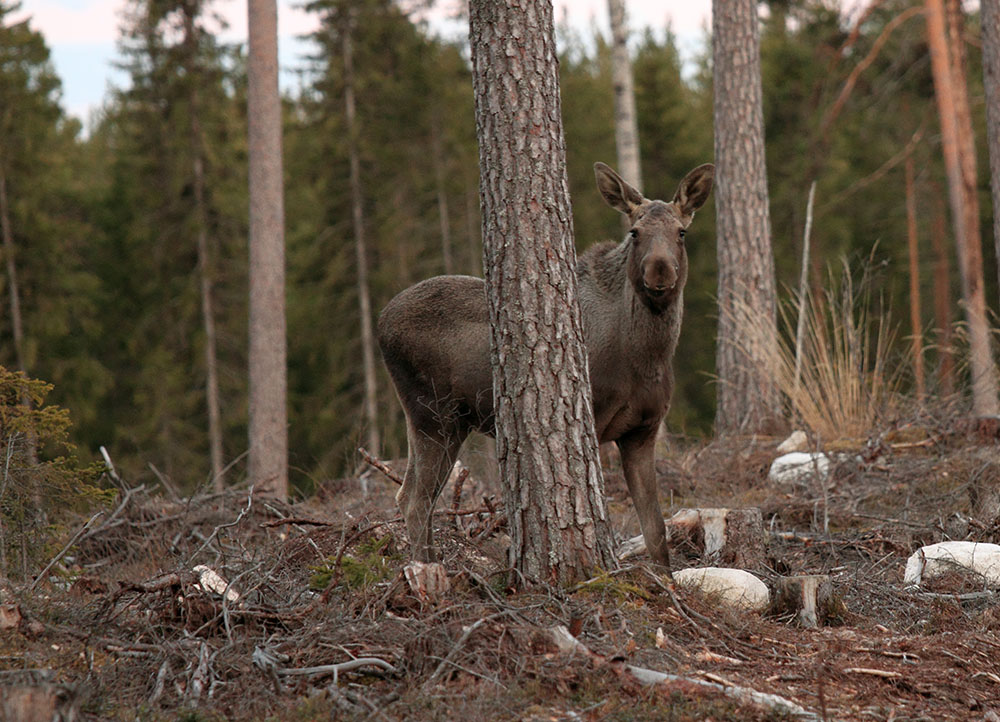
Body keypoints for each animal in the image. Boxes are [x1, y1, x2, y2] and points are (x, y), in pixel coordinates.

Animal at [376, 162, 712, 568]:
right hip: (431, 414)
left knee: (410, 495)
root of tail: (379, 324)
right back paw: (428, 568)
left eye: (681, 232)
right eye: (635, 232)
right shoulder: (595, 420)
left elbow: (656, 531)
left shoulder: (643, 431)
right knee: (415, 500)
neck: (648, 357)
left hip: (450, 423)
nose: (659, 270)